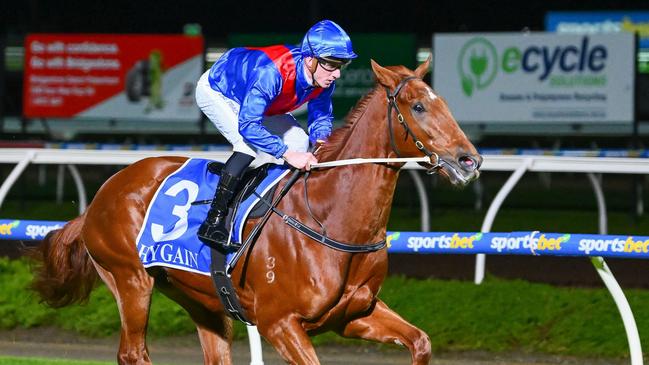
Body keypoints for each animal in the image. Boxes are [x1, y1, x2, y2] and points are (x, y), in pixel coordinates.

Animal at [30, 58, 480, 362]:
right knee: (133, 353)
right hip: (130, 281)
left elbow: (420, 342)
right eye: (418, 107)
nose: (469, 160)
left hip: (201, 298)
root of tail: (102, 195)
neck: (329, 217)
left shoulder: (356, 314)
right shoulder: (279, 323)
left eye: (442, 103)